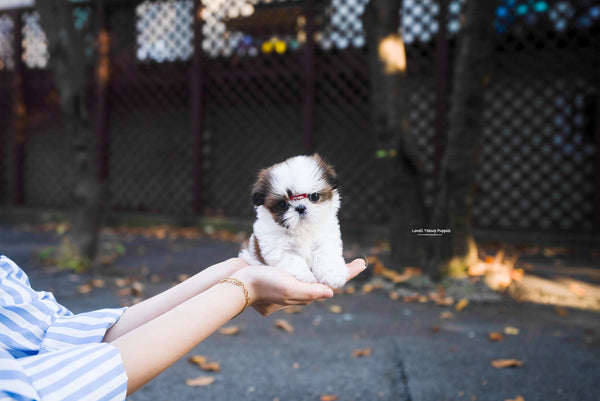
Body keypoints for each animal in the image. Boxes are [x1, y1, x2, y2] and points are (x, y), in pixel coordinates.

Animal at [239, 153, 350, 288]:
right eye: (282, 204)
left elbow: (325, 256)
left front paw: (334, 275)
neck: (302, 229)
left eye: (314, 196)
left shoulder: (325, 240)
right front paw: (306, 277)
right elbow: (294, 261)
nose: (300, 208)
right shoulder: (279, 250)